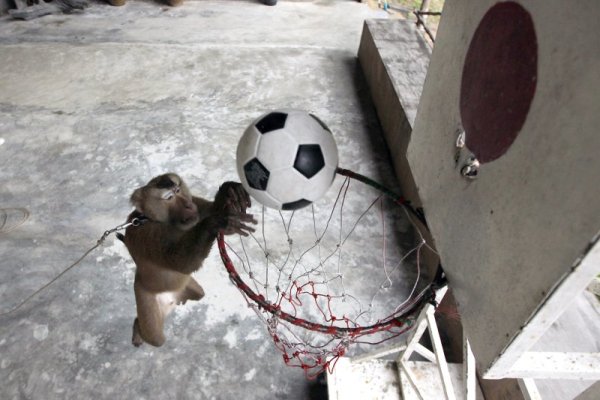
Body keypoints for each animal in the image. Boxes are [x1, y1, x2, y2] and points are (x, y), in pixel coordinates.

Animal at [119, 173, 255, 346]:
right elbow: (184, 263)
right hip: (145, 298)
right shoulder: (146, 233)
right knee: (155, 338)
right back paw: (138, 329)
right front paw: (214, 223)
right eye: (169, 197)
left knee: (199, 294)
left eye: (178, 190)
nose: (189, 206)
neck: (152, 219)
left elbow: (210, 210)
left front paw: (229, 189)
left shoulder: (195, 207)